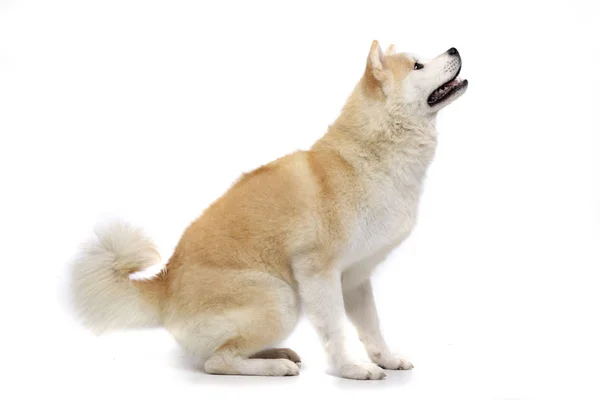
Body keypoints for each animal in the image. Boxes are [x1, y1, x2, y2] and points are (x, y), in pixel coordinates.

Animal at [70, 41, 468, 382]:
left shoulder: (355, 278)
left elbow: (372, 326)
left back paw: (276, 353)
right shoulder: (317, 273)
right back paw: (274, 367)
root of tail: (165, 283)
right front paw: (350, 369)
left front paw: (385, 359)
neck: (372, 155)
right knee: (218, 361)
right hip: (282, 298)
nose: (454, 49)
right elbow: (335, 329)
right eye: (417, 65)